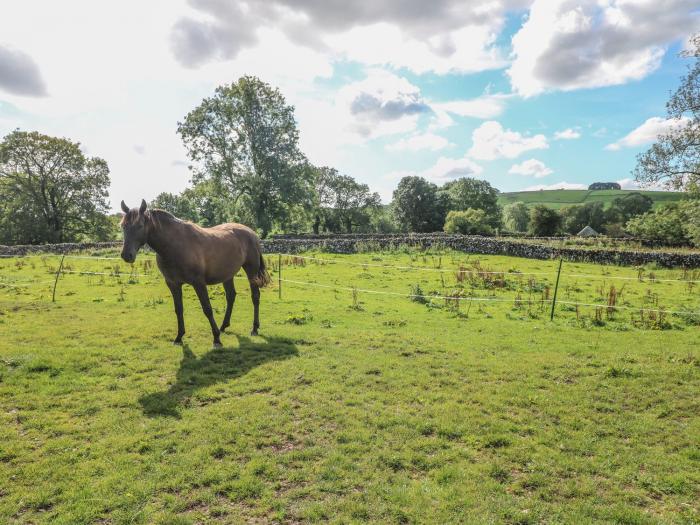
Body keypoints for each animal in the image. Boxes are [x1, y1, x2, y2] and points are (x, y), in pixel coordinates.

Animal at [119, 199, 270, 346]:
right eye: (123, 226)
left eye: (139, 226)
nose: (127, 255)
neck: (175, 245)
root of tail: (252, 233)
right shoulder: (173, 284)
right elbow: (179, 309)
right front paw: (179, 337)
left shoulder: (198, 283)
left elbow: (207, 309)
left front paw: (216, 338)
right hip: (227, 275)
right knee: (231, 296)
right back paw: (223, 326)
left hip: (251, 271)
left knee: (255, 297)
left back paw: (254, 328)